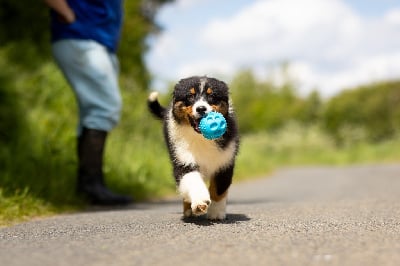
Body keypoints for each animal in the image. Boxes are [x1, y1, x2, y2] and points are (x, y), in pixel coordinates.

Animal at [148, 76, 239, 219]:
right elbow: (192, 179)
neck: (201, 138)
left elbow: (219, 189)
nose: (201, 108)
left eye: (211, 95)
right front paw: (200, 202)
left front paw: (216, 213)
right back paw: (188, 210)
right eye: (190, 96)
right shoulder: (183, 159)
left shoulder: (225, 161)